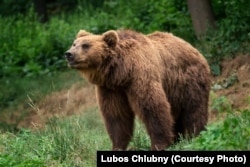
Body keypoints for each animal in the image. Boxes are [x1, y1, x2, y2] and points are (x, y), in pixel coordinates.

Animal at [64, 29, 211, 151]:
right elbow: (116, 116)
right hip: (173, 90)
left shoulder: (140, 76)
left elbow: (152, 108)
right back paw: (177, 139)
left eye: (86, 45)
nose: (69, 54)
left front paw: (159, 144)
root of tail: (192, 47)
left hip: (189, 81)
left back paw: (196, 135)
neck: (121, 73)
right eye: (74, 44)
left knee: (194, 110)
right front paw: (117, 146)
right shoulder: (110, 89)